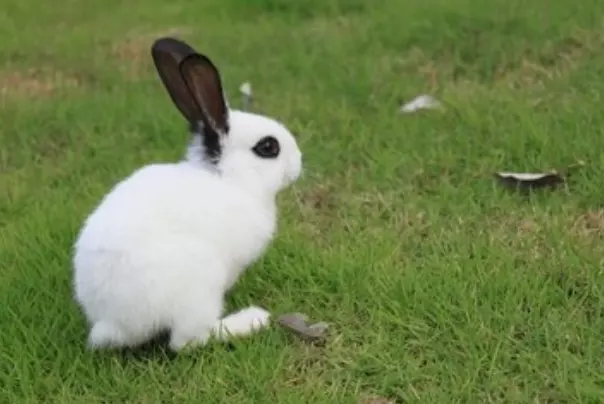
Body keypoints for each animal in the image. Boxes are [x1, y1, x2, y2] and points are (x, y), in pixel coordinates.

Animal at [72, 38, 302, 354]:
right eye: (268, 147)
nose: (298, 163)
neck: (231, 180)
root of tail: (113, 324)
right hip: (199, 288)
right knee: (186, 341)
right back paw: (252, 320)